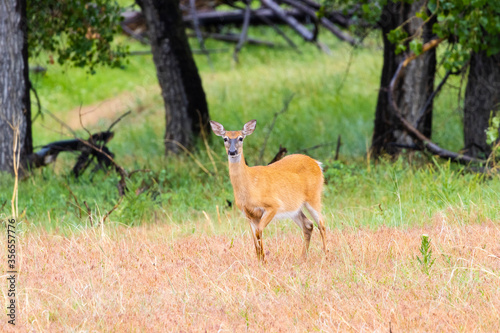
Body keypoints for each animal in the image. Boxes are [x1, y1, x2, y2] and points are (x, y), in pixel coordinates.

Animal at [209, 118, 326, 260]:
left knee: (322, 224)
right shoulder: (248, 214)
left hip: (313, 196)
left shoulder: (273, 205)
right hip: (293, 207)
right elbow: (255, 239)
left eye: (241, 138)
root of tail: (317, 164)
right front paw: (260, 261)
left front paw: (264, 260)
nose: (232, 151)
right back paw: (303, 257)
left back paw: (326, 254)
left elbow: (259, 233)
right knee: (308, 225)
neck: (250, 185)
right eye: (225, 138)